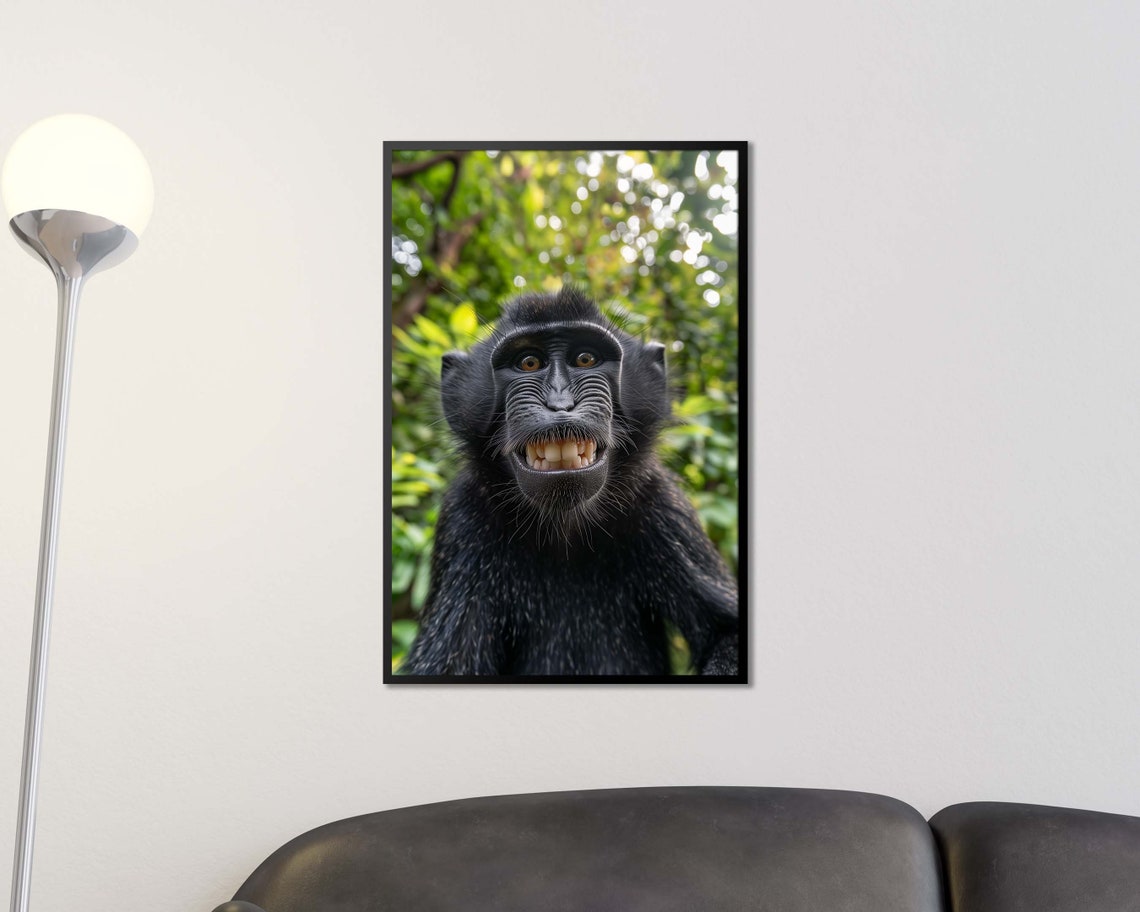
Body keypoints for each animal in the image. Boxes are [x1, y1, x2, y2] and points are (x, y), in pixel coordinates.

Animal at [398, 285, 740, 677]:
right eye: (529, 363)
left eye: (586, 359)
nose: (560, 404)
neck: (564, 528)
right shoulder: (462, 520)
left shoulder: (663, 506)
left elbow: (727, 633)